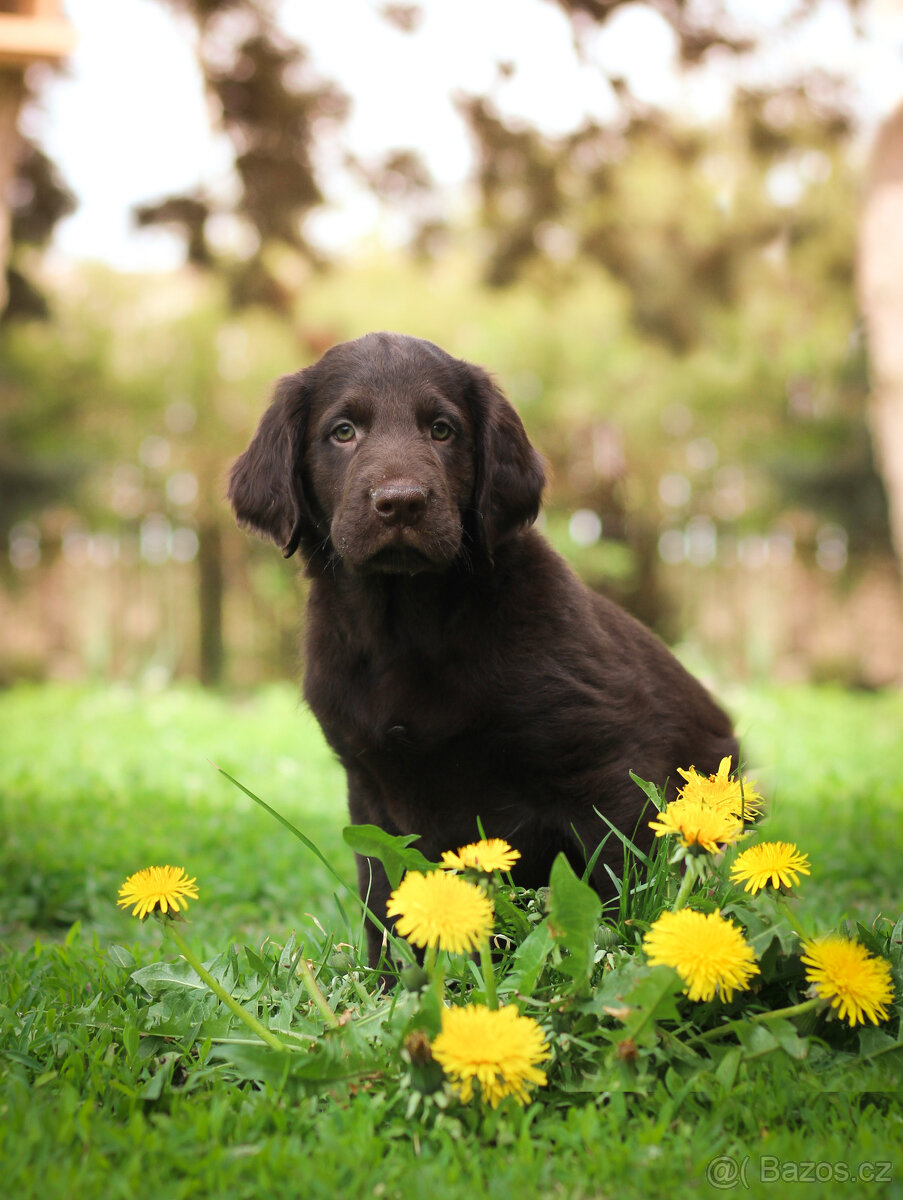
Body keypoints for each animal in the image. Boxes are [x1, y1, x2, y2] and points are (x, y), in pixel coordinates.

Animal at [229, 328, 734, 964]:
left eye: (442, 430)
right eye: (343, 431)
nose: (401, 501)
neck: (406, 625)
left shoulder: (607, 766)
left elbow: (624, 889)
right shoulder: (369, 790)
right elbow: (383, 901)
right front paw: (388, 981)